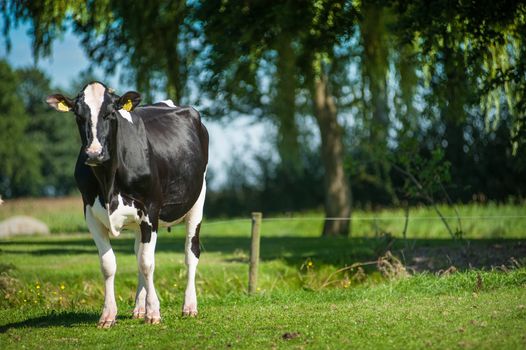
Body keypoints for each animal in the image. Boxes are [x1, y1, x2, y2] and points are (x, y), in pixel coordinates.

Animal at [46, 82, 209, 328]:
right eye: (78, 115)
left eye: (110, 113)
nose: (94, 153)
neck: (108, 183)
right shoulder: (90, 214)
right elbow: (109, 264)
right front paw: (108, 315)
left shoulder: (150, 210)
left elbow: (147, 263)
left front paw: (154, 312)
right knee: (138, 251)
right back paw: (139, 308)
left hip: (197, 202)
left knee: (191, 253)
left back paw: (189, 306)